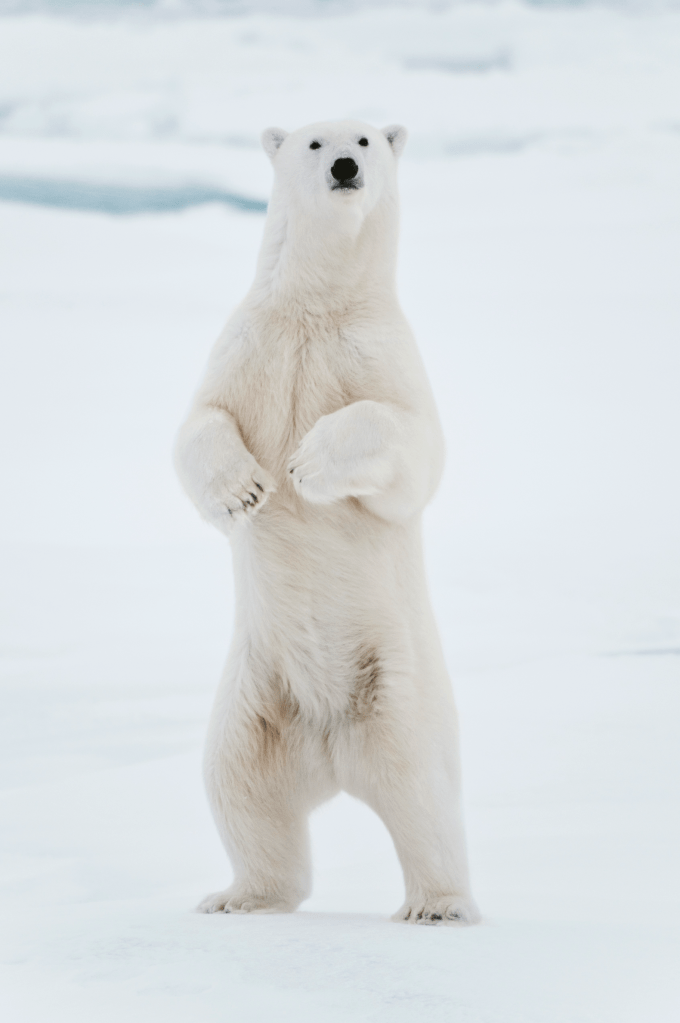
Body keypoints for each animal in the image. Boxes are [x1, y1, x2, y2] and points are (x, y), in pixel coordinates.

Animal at [175, 119, 476, 928]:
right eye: (314, 142)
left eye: (366, 138)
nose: (345, 165)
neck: (316, 308)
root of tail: (332, 753)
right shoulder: (247, 345)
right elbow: (197, 426)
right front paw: (245, 489)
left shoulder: (382, 355)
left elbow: (410, 446)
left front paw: (308, 465)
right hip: (253, 699)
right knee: (239, 787)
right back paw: (240, 895)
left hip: (399, 689)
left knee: (423, 795)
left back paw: (439, 905)